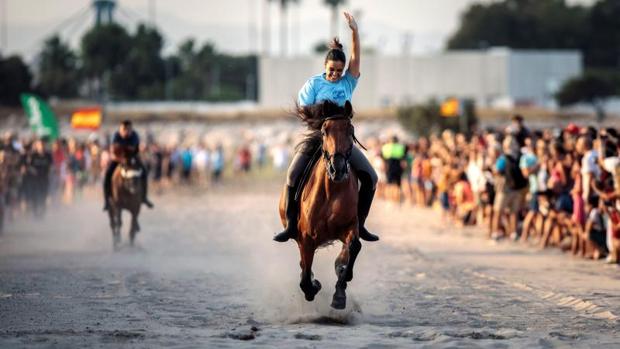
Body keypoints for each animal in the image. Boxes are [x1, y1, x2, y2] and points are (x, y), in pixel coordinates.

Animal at [278, 100, 360, 308]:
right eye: (324, 131)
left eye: (350, 130)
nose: (337, 169)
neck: (332, 189)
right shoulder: (306, 237)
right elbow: (305, 276)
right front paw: (313, 287)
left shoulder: (350, 226)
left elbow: (354, 247)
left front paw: (340, 291)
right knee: (303, 265)